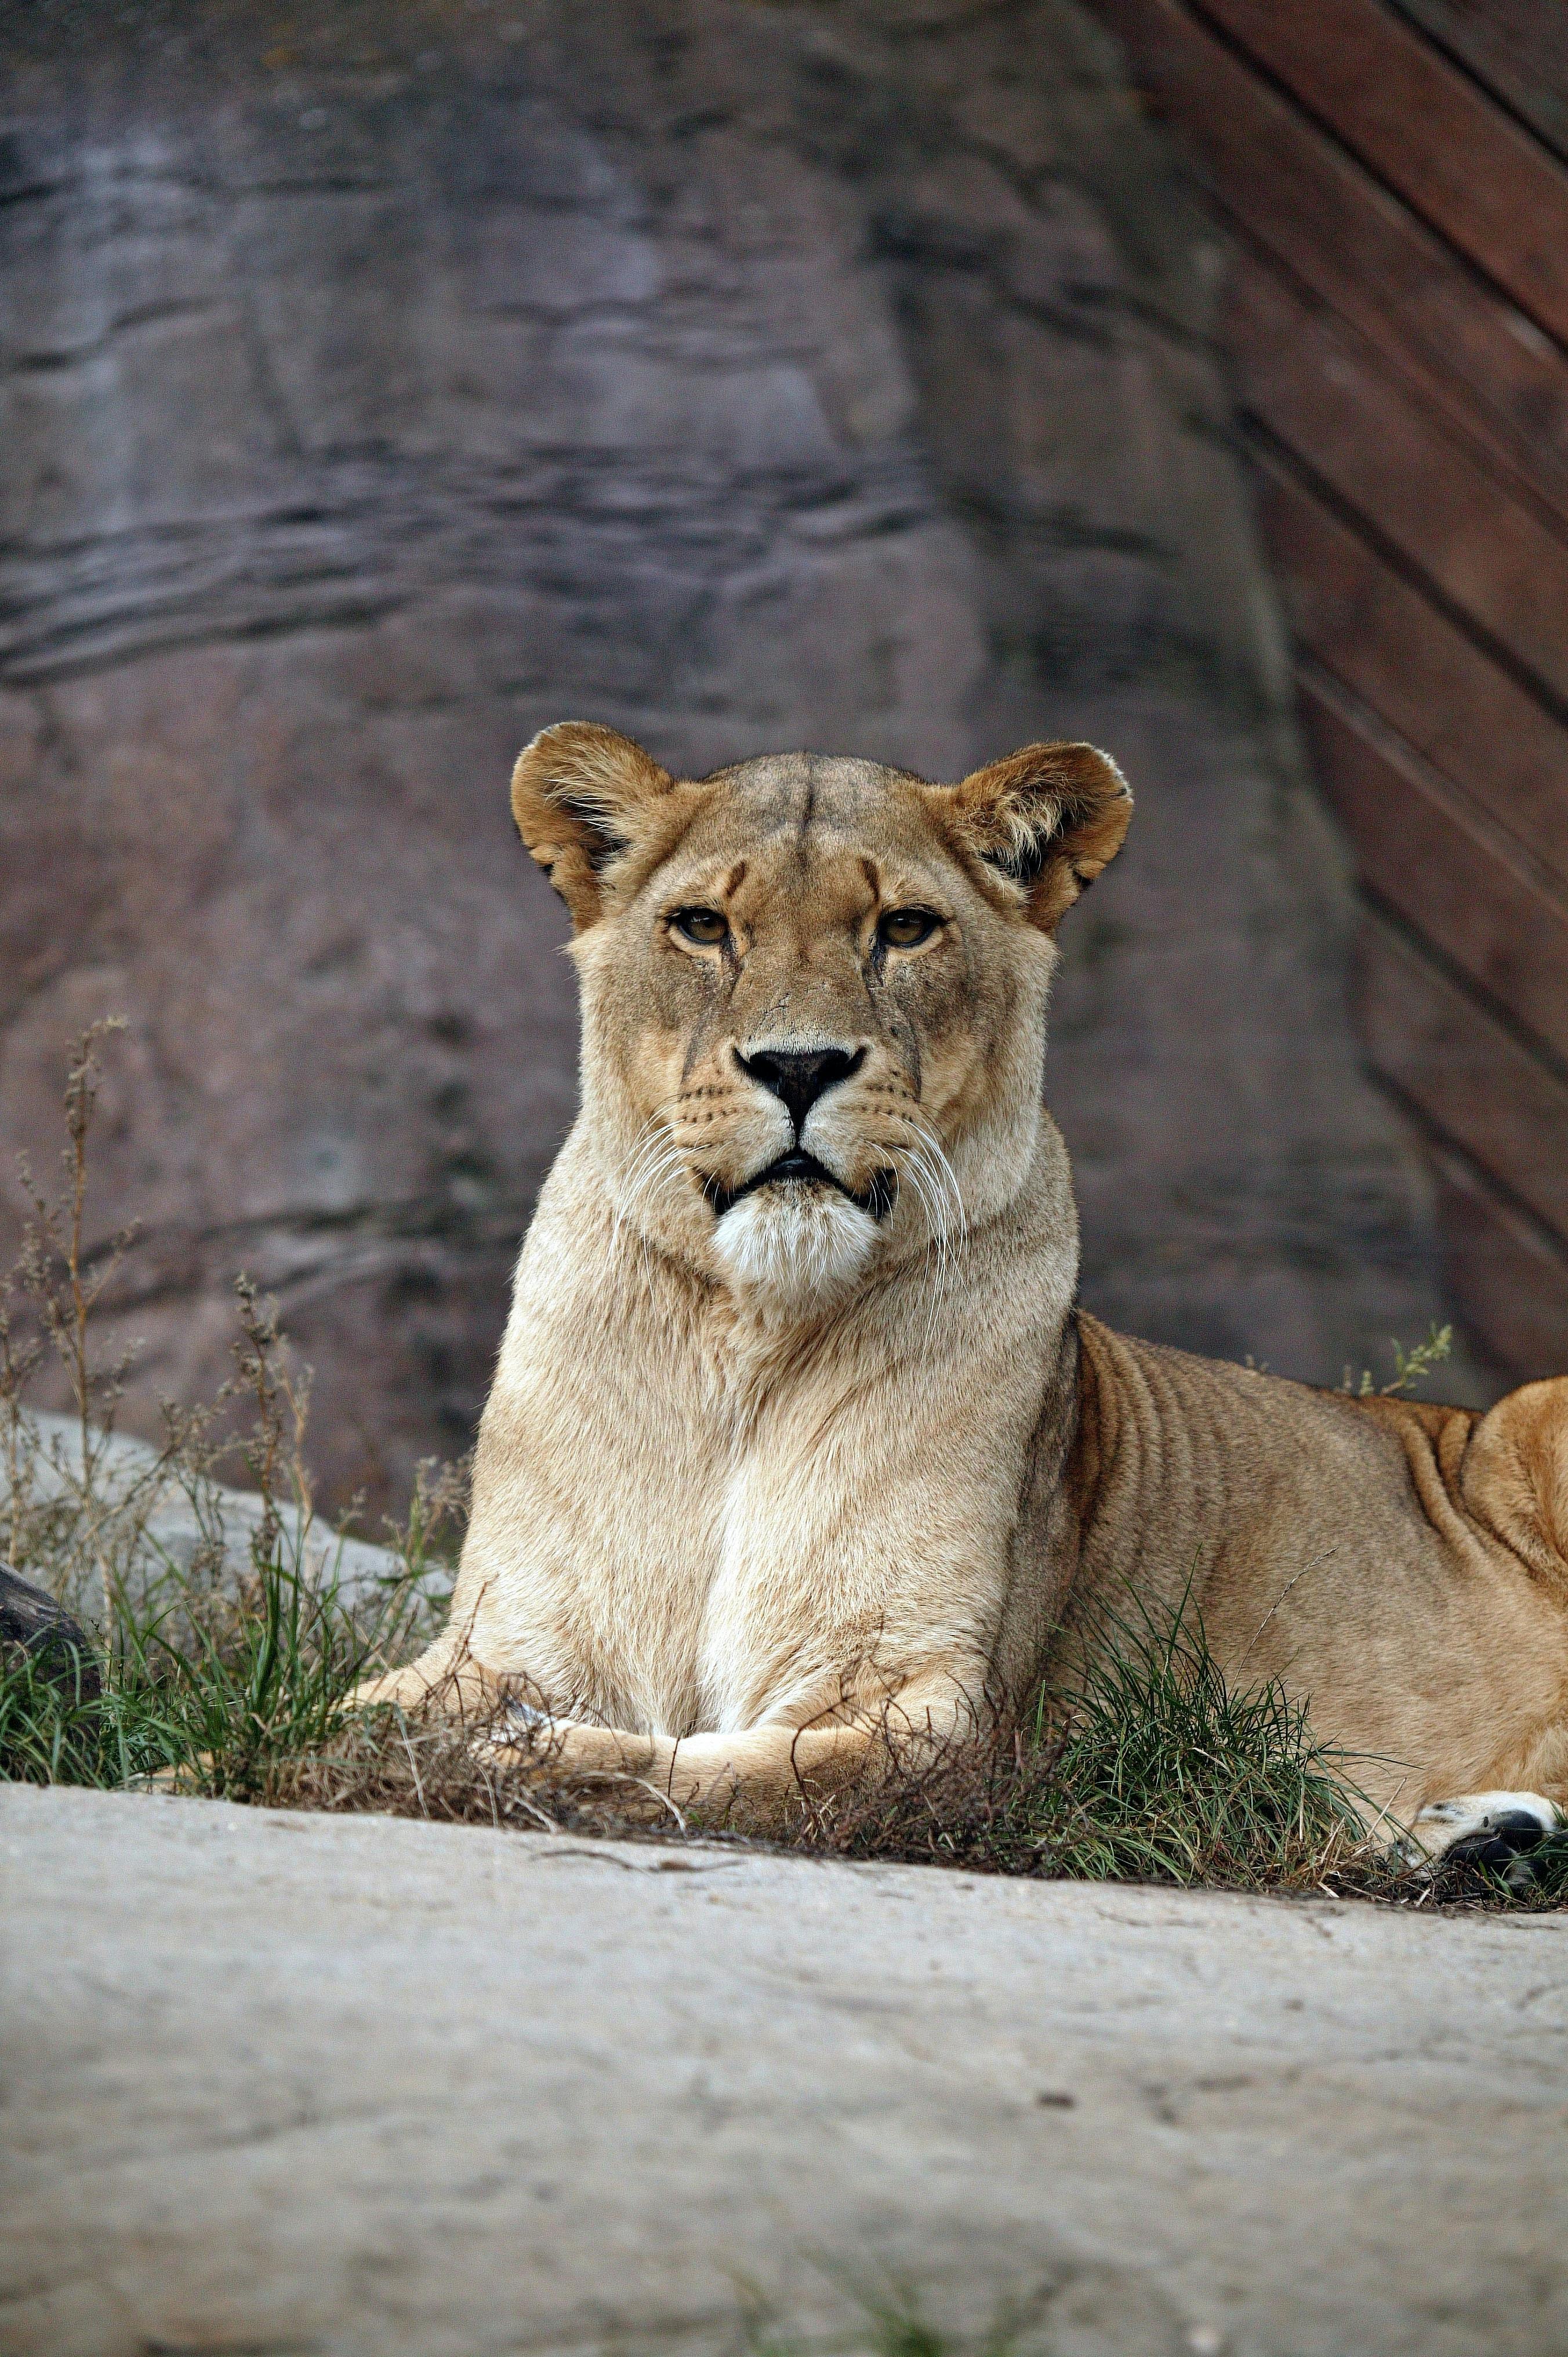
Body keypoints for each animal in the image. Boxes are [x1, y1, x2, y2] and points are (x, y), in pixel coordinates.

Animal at [357, 721, 1568, 1870]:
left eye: (903, 929)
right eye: (702, 925)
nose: (797, 1066)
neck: (748, 1335)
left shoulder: (940, 1717)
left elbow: (711, 1771)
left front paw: (509, 1751)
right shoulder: (511, 1635)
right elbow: (364, 1705)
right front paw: (413, 1729)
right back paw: (1470, 1839)